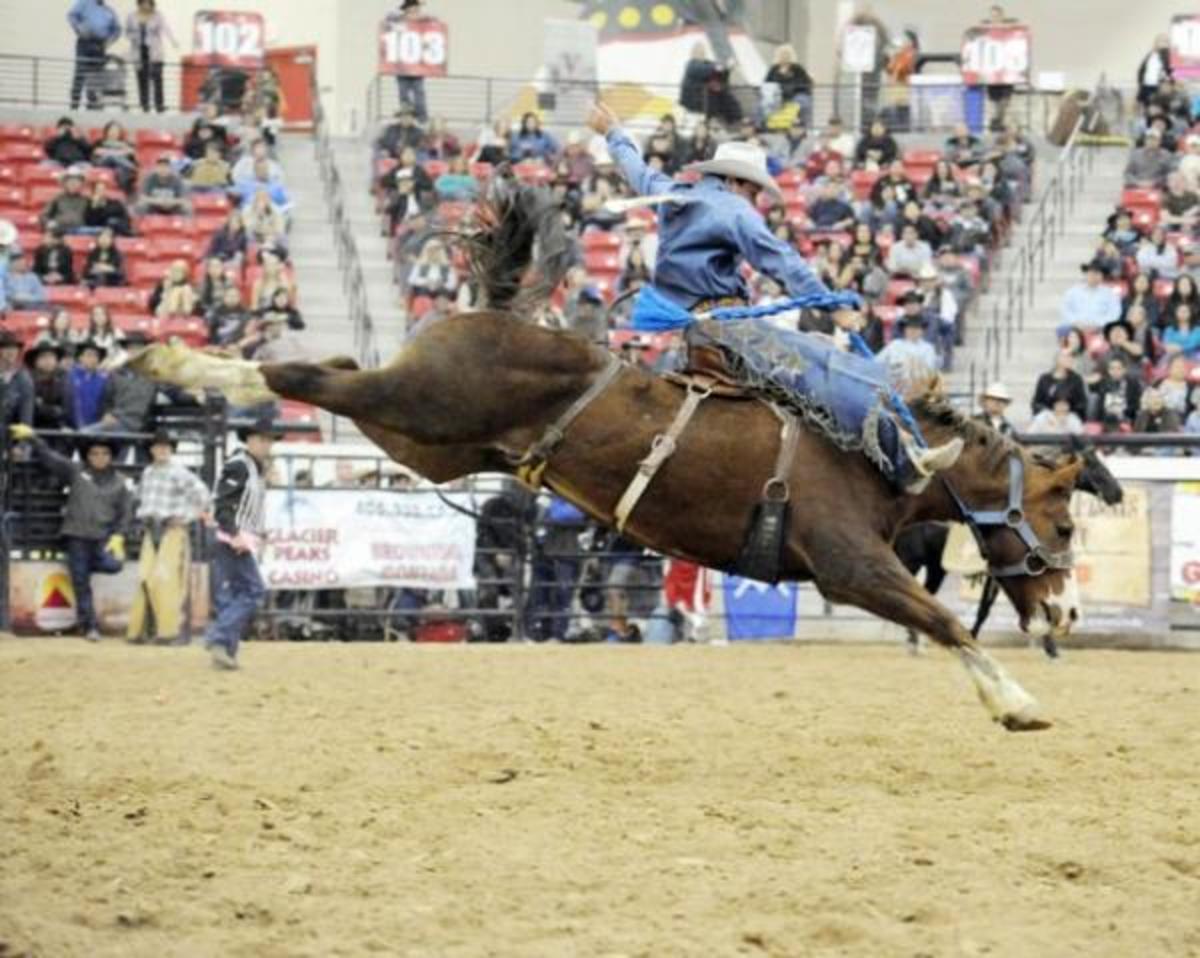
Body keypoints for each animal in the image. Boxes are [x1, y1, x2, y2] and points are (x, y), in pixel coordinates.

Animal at [129, 183, 1080, 729]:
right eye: (1066, 521)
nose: (1068, 614)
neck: (880, 456)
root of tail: (492, 313)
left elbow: (938, 615)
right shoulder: (849, 564)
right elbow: (944, 617)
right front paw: (1018, 702)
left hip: (426, 438)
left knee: (331, 373)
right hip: (421, 401)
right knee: (302, 373)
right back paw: (174, 364)